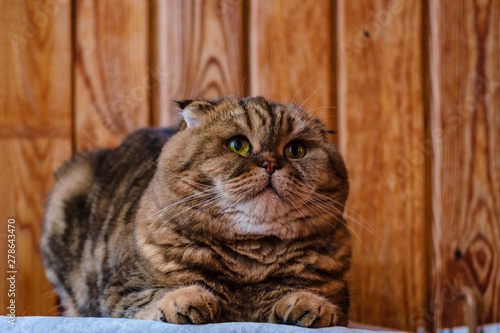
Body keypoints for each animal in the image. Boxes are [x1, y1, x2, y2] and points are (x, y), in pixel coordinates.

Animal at [41, 94, 350, 326]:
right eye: (238, 145)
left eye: (295, 150)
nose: (271, 164)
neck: (250, 262)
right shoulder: (121, 290)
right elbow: (155, 297)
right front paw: (188, 300)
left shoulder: (340, 297)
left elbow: (317, 300)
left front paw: (308, 305)